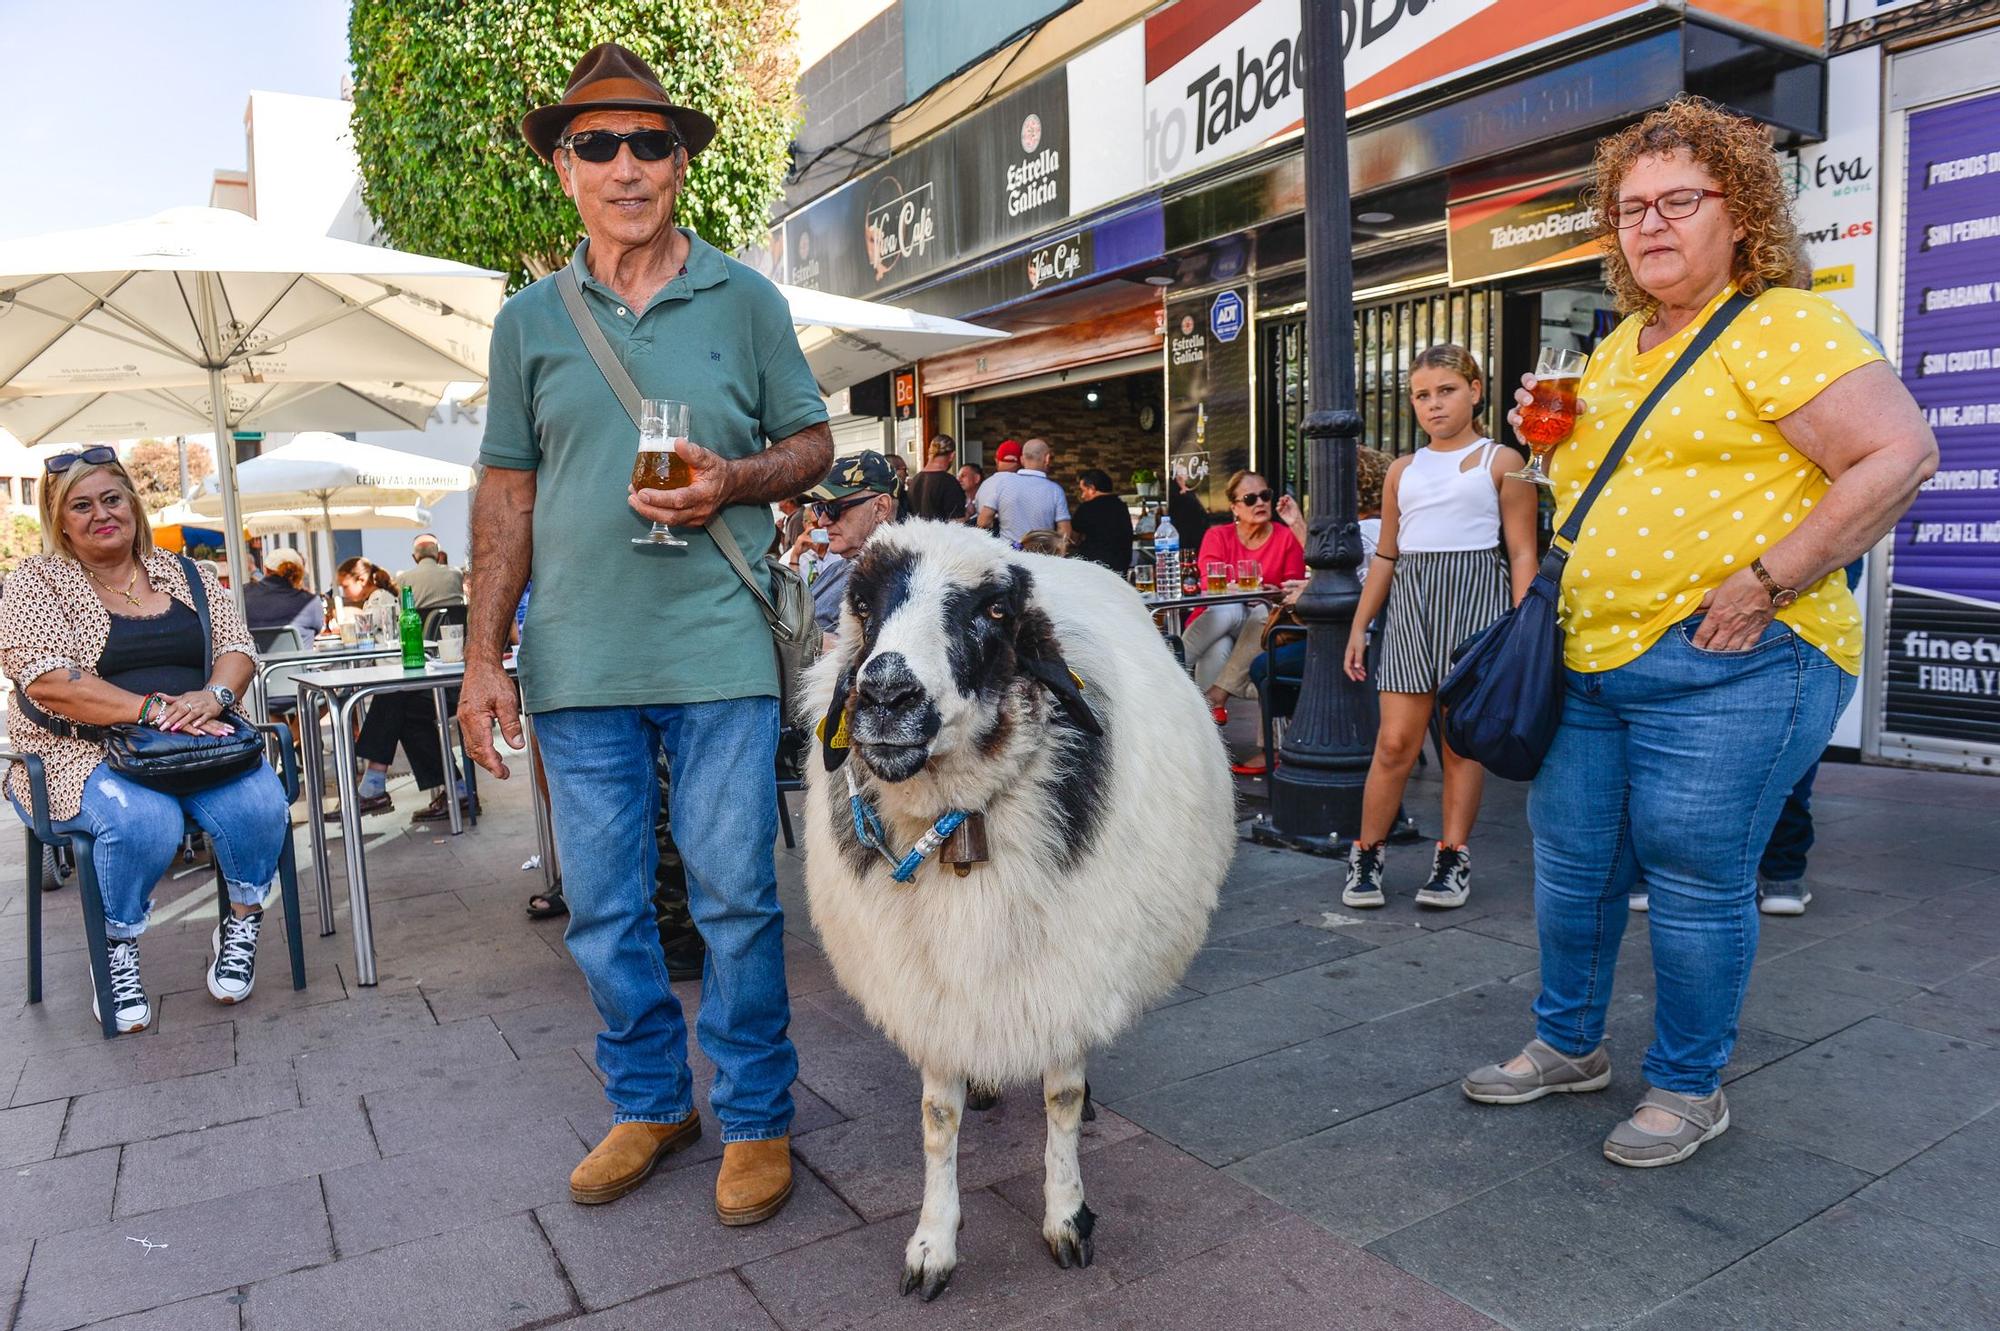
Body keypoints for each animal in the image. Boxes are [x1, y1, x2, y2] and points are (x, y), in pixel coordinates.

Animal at [796, 515, 1232, 1295]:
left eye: (996, 611)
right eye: (865, 606)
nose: (885, 695)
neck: (958, 821)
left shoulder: (1069, 964)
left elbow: (1061, 1098)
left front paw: (1067, 1216)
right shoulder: (927, 986)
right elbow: (938, 1114)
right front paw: (933, 1241)